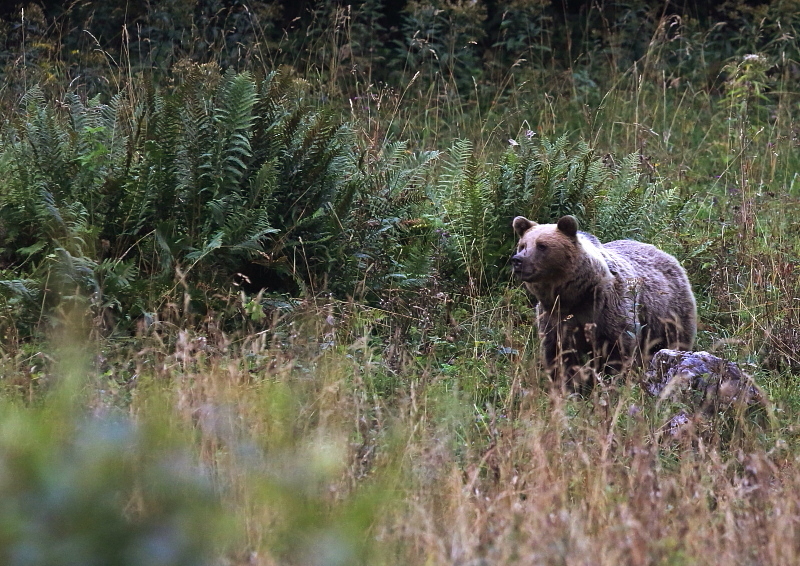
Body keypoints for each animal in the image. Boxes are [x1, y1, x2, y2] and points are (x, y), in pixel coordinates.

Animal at [512, 215, 692, 398]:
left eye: (542, 245)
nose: (518, 260)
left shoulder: (607, 310)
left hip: (668, 313)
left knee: (674, 340)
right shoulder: (554, 317)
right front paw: (567, 389)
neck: (574, 296)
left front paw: (609, 384)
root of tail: (661, 251)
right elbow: (559, 355)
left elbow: (617, 351)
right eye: (523, 245)